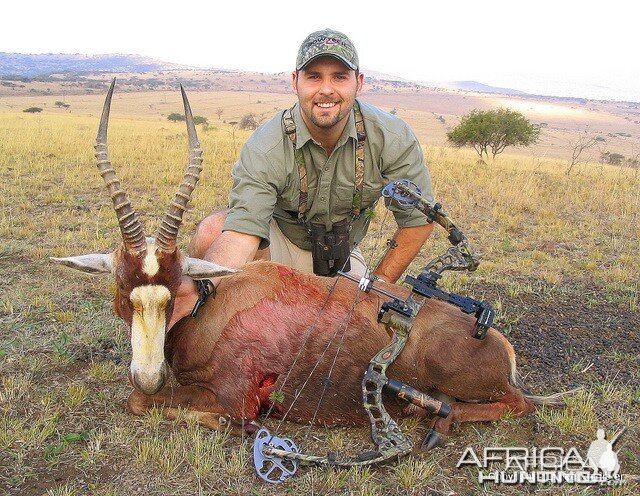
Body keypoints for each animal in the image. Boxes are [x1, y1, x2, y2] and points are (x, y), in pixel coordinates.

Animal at [56, 81, 564, 450]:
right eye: (124, 294)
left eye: (173, 289)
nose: (150, 373)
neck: (211, 307)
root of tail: (496, 339)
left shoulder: (233, 397)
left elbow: (143, 402)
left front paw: (238, 426)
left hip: (484, 391)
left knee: (517, 404)